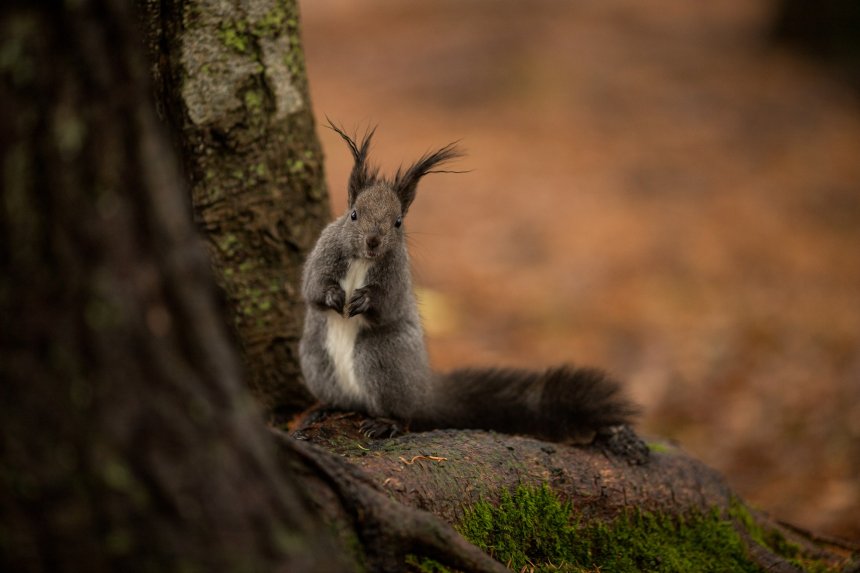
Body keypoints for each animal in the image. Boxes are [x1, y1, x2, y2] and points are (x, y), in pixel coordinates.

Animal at [299, 123, 640, 443]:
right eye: (354, 214)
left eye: (398, 222)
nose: (373, 242)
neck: (363, 260)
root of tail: (424, 391)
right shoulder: (323, 253)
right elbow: (312, 288)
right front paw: (333, 295)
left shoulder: (397, 276)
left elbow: (388, 303)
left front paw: (364, 299)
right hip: (317, 361)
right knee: (342, 398)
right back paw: (325, 409)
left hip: (382, 359)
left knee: (402, 411)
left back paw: (386, 423)